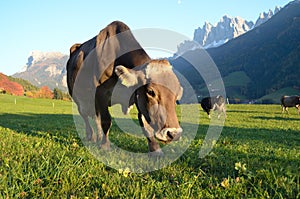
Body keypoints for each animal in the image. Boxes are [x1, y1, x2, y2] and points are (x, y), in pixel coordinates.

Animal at [66, 21, 183, 155]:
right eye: (150, 91)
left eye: (177, 95)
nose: (173, 133)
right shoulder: (101, 93)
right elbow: (106, 121)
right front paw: (105, 146)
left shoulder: (137, 96)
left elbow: (145, 125)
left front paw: (155, 151)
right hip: (78, 97)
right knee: (85, 115)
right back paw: (91, 136)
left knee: (95, 117)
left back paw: (99, 137)